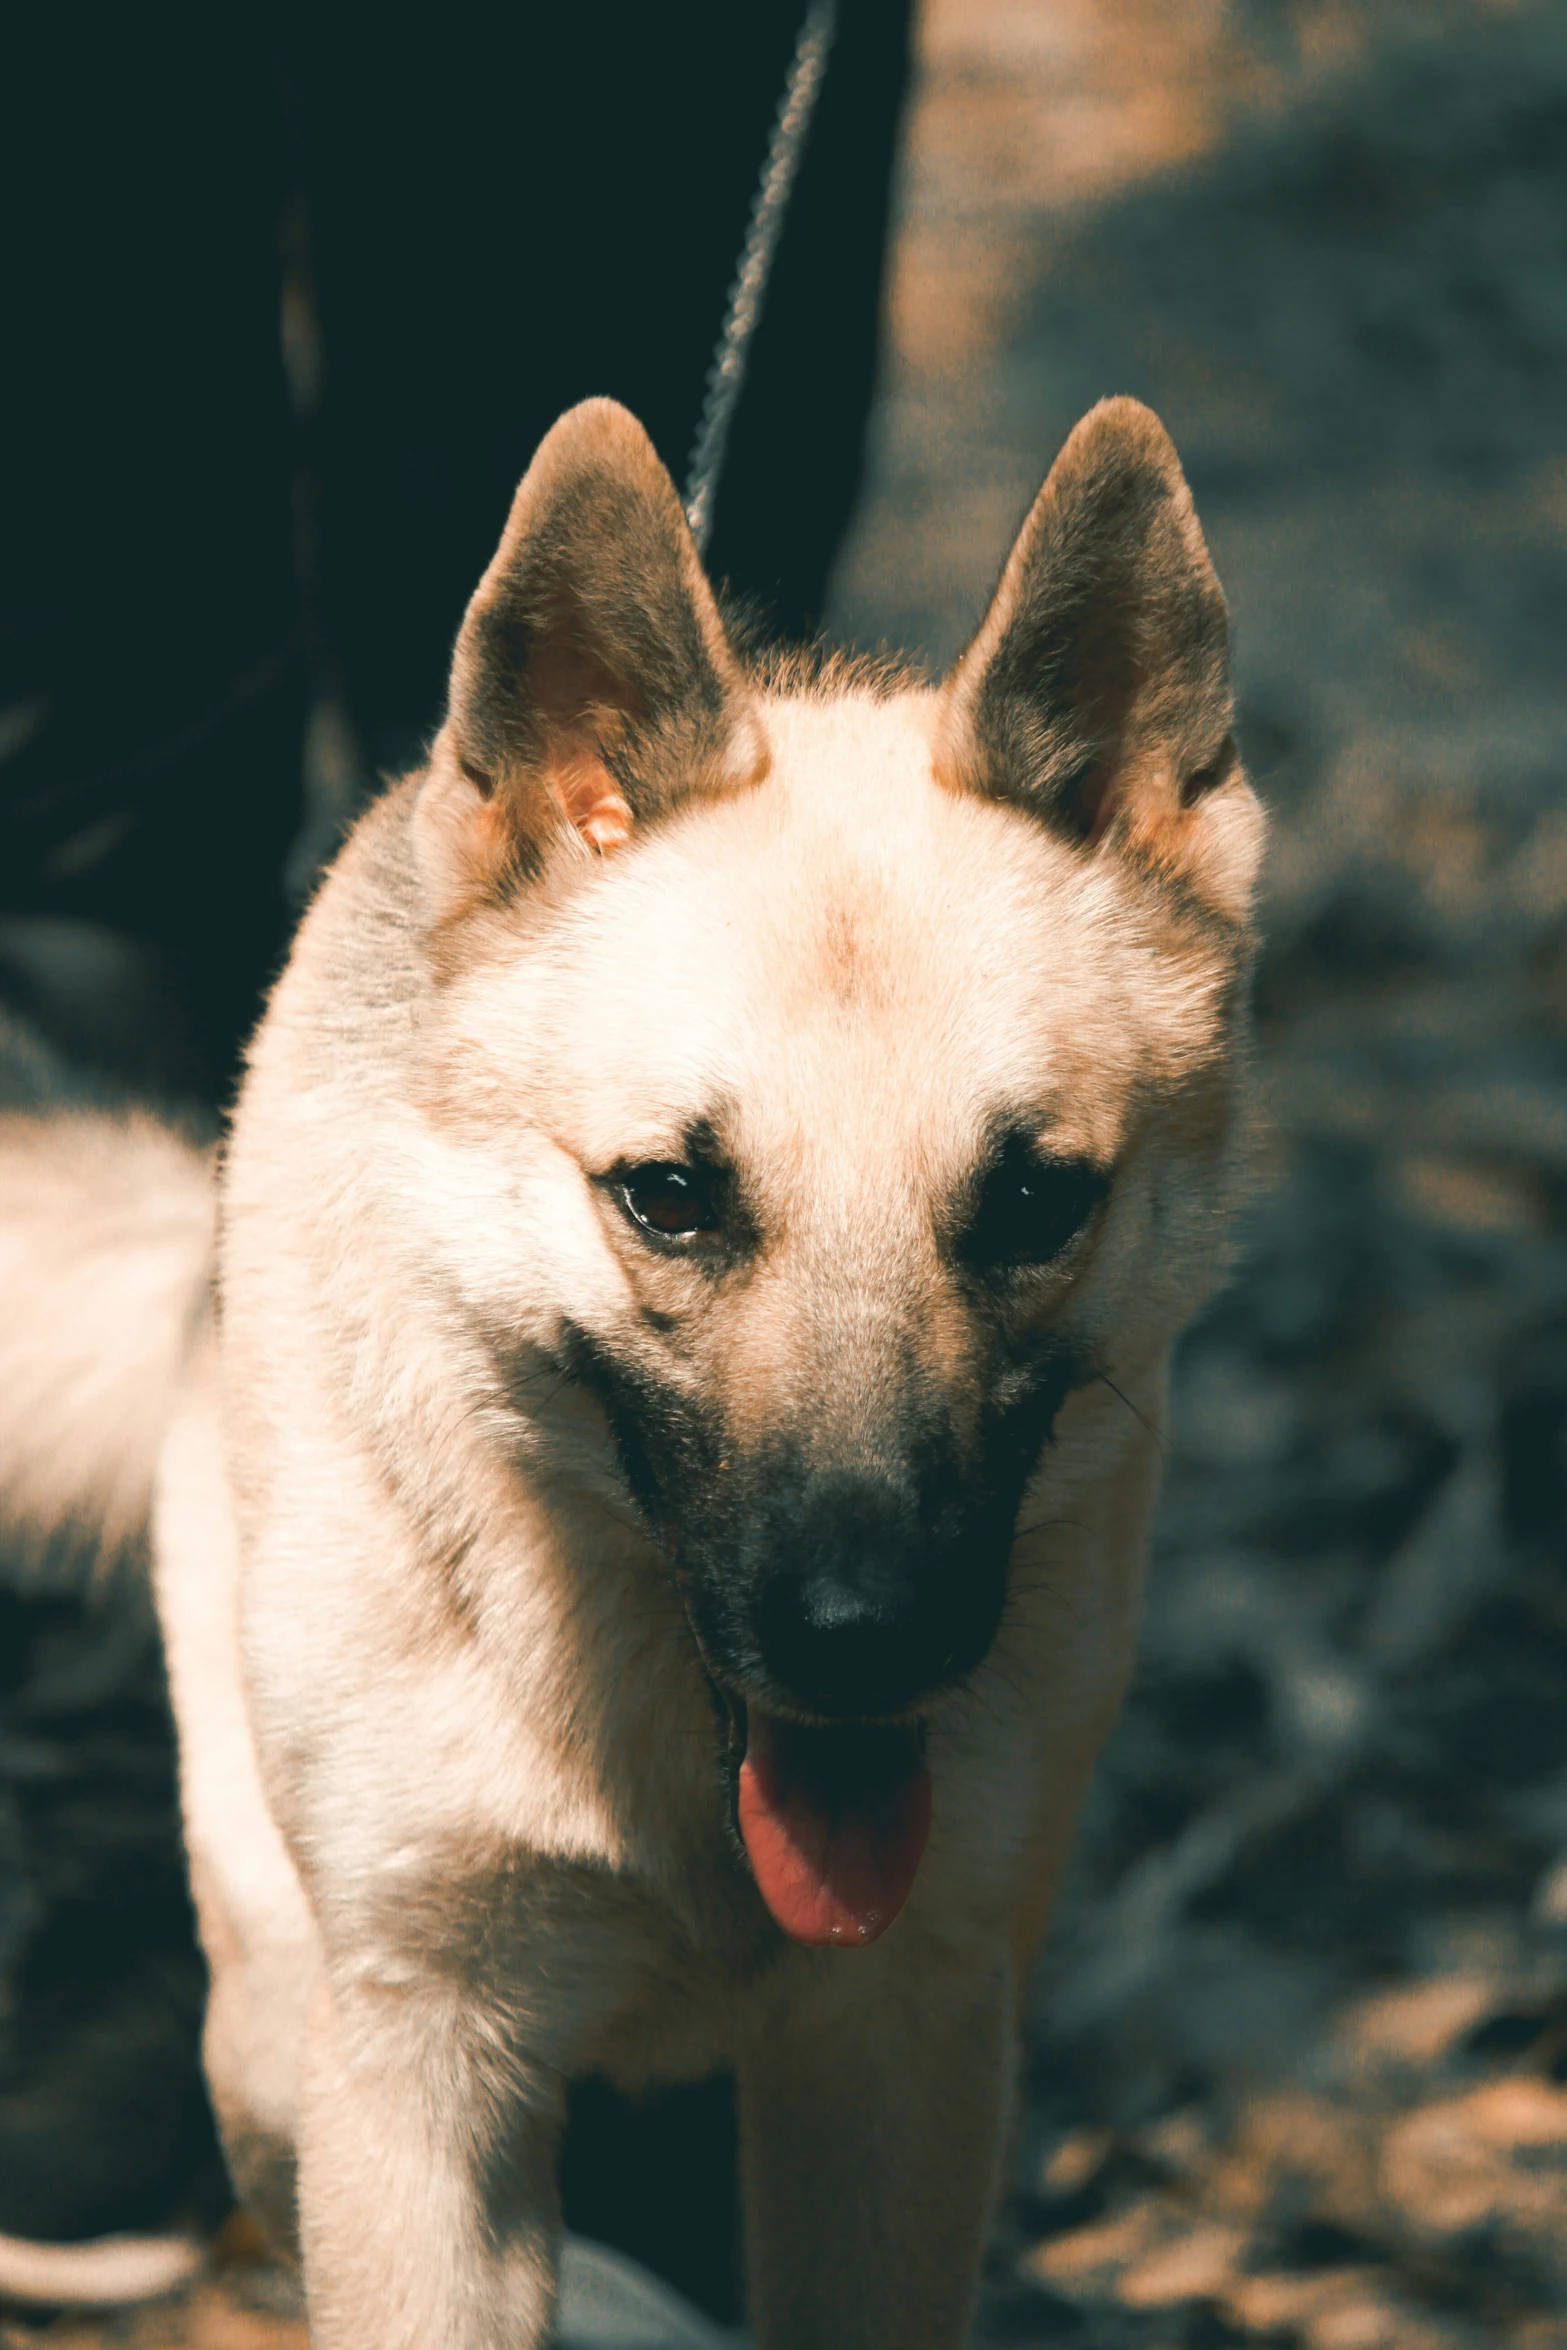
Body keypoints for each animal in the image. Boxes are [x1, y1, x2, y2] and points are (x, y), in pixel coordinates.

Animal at [0, 394, 1259, 2340]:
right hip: (277, 2035)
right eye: (668, 1196)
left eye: (1033, 1201)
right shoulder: (420, 2079)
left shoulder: (900, 2059)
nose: (860, 1637)